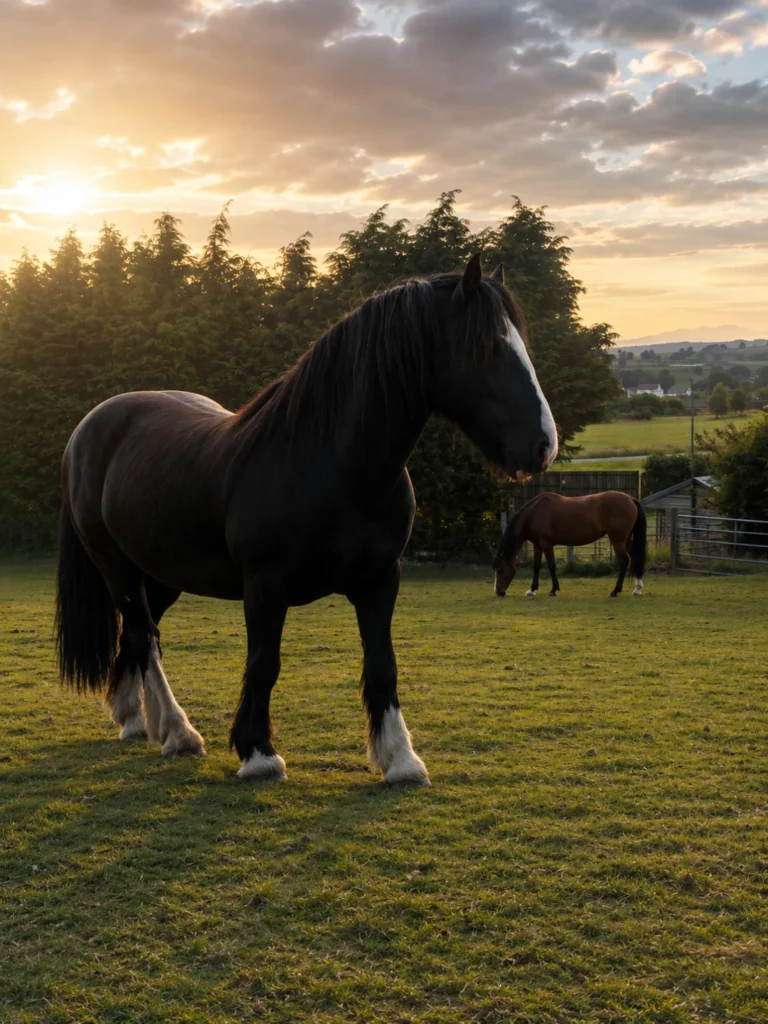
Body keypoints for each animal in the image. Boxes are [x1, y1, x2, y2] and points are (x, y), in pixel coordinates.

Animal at [55, 255, 557, 786]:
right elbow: (263, 665)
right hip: (117, 568)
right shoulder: (264, 588)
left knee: (138, 636)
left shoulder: (381, 581)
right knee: (144, 636)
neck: (331, 465)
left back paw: (136, 719)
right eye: (487, 347)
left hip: (162, 574)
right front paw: (258, 753)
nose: (543, 445)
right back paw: (178, 731)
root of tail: (88, 429)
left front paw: (400, 759)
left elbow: (383, 665)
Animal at [493, 491, 646, 599]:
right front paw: (532, 590)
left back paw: (615, 591)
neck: (534, 512)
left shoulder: (546, 543)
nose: (498, 592)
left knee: (624, 561)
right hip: (626, 540)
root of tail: (631, 499)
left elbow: (551, 565)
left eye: (500, 570)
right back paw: (637, 589)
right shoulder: (537, 545)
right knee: (634, 558)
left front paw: (553, 590)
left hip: (617, 540)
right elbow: (536, 566)